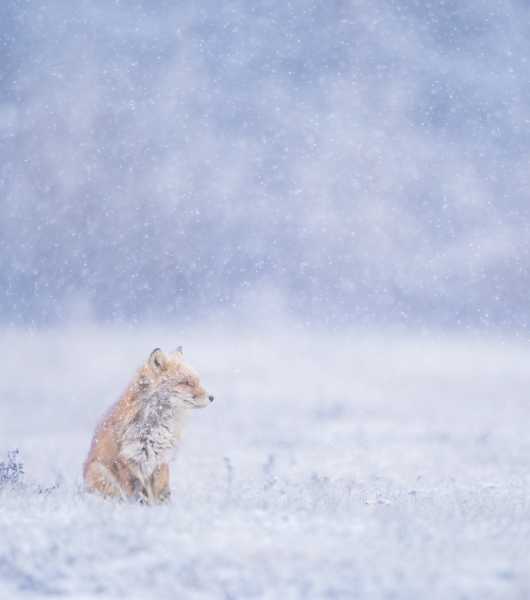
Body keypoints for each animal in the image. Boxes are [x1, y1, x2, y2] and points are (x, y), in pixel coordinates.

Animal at [82, 346, 212, 506]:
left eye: (197, 381)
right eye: (185, 383)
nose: (212, 397)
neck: (156, 428)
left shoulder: (161, 460)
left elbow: (163, 491)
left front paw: (166, 508)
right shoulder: (125, 459)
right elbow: (139, 490)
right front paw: (144, 508)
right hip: (97, 471)